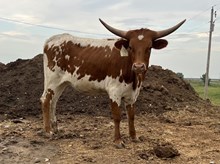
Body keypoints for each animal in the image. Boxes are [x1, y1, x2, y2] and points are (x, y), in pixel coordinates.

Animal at [40, 18, 185, 148]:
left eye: (149, 48)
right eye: (131, 47)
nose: (138, 66)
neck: (133, 78)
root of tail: (51, 40)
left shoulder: (132, 95)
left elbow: (131, 116)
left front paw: (134, 136)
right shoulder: (114, 92)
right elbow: (117, 116)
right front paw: (118, 141)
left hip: (62, 83)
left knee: (54, 102)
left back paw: (56, 128)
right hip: (52, 80)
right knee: (46, 100)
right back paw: (48, 131)